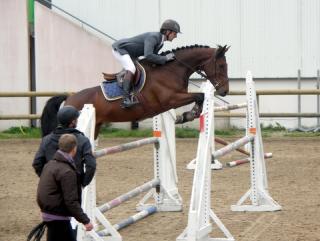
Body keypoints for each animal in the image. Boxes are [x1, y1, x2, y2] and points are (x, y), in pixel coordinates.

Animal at [40, 44, 230, 138]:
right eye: (221, 65)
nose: (224, 91)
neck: (171, 70)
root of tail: (69, 98)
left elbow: (200, 96)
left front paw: (188, 115)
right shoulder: (171, 99)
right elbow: (200, 95)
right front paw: (188, 115)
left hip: (95, 126)